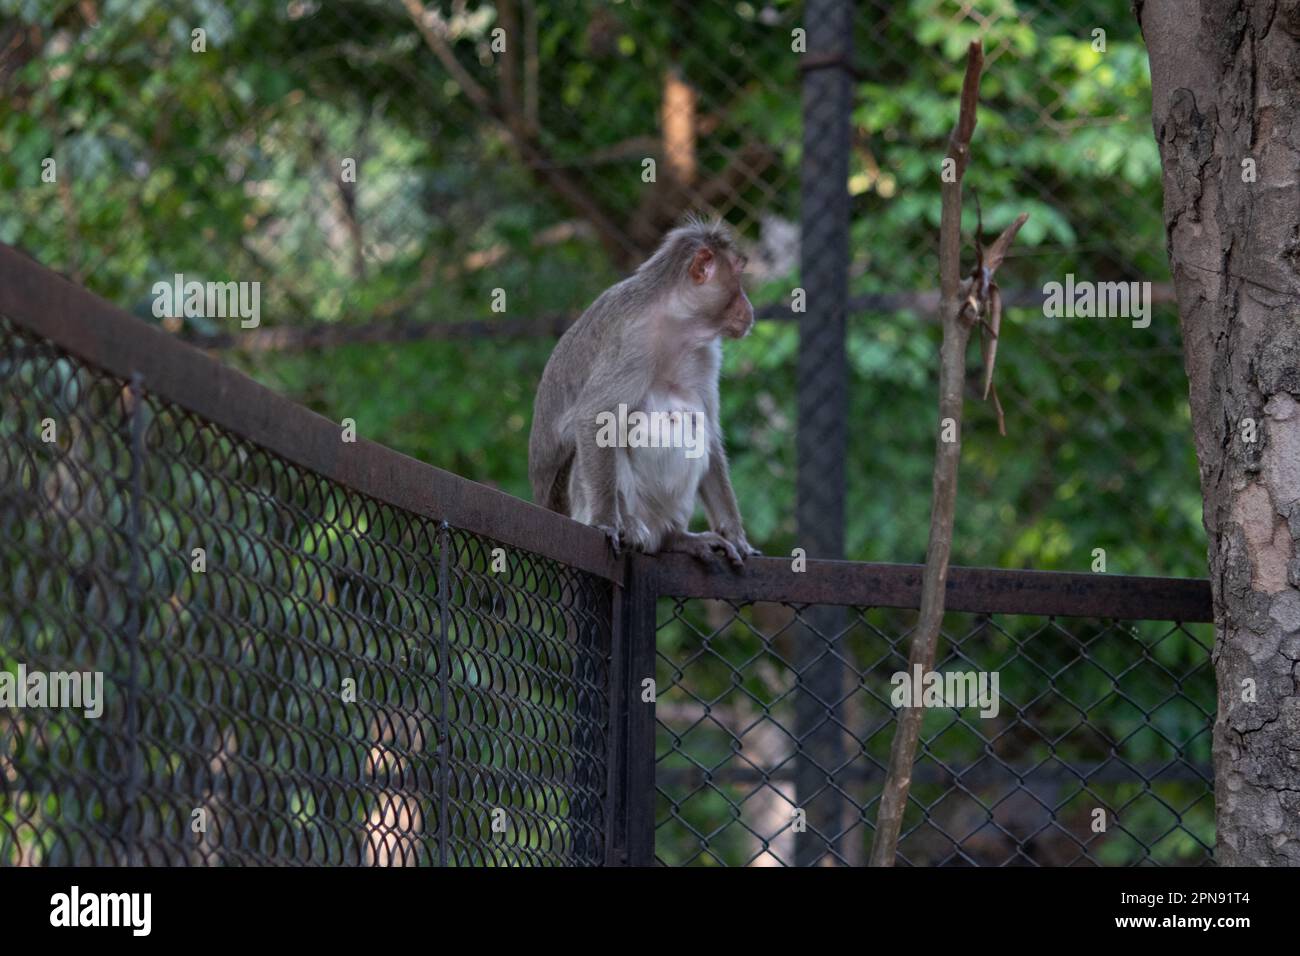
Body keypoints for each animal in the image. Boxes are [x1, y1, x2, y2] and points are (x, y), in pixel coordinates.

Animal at [529, 219, 760, 567]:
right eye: (738, 277)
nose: (749, 307)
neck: (677, 323)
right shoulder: (632, 339)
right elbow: (596, 416)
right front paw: (606, 522)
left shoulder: (707, 352)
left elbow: (710, 429)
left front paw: (735, 535)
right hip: (574, 503)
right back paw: (631, 525)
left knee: (692, 418)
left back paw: (674, 538)